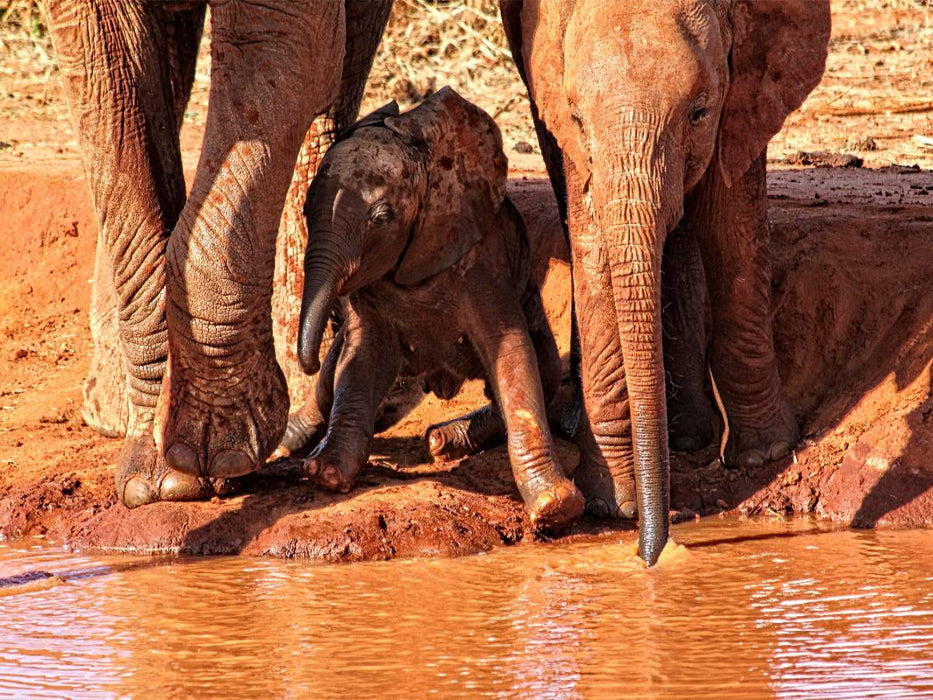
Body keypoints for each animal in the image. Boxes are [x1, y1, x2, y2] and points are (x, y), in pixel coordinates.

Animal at [46, 0, 393, 507]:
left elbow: (279, 42)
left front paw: (212, 456)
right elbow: (107, 75)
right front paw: (158, 477)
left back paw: (303, 411)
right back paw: (114, 411)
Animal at [296, 88, 585, 531]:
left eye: (382, 217)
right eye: (306, 210)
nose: (305, 361)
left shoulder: (481, 258)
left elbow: (513, 355)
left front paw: (555, 507)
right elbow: (361, 360)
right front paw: (324, 475)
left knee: (546, 373)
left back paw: (443, 441)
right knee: (330, 383)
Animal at [500, 0, 830, 563]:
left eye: (698, 113)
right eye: (578, 118)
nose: (650, 554)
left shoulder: (739, 99)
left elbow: (730, 224)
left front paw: (765, 453)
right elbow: (593, 249)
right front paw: (612, 506)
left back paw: (692, 439)